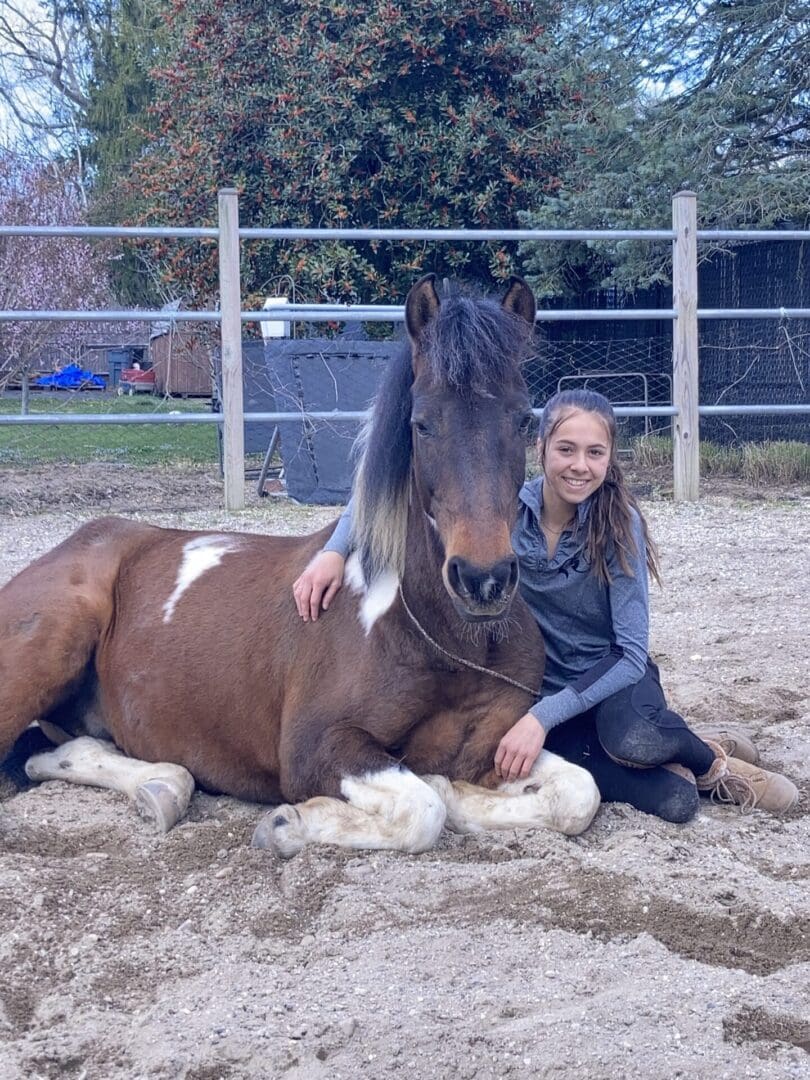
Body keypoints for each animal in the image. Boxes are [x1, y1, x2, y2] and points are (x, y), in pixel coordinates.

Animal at [0, 274, 596, 855]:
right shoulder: (318, 746)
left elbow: (574, 793)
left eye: (523, 420)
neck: (441, 638)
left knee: (57, 750)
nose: (482, 579)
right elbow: (423, 808)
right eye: (422, 423)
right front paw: (289, 824)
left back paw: (161, 786)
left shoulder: (499, 739)